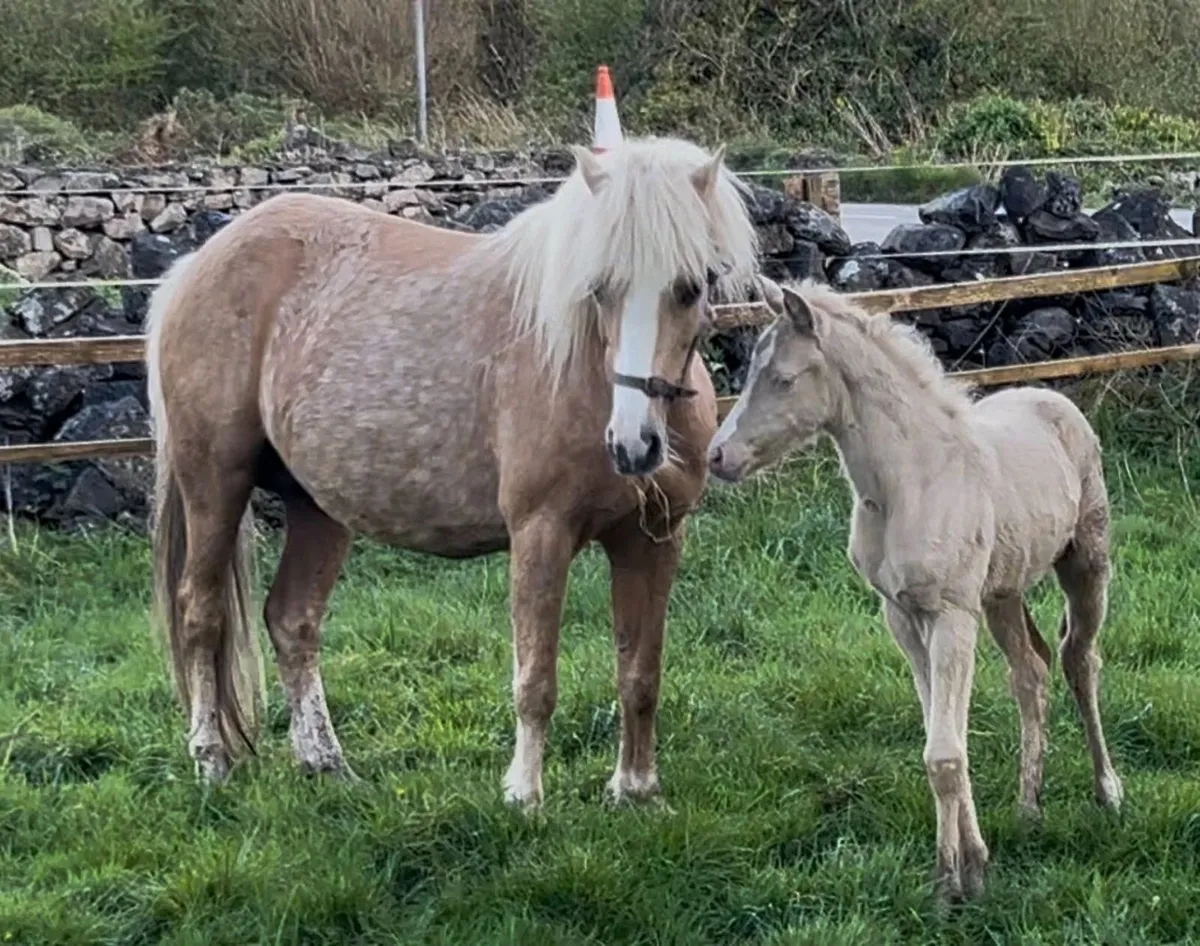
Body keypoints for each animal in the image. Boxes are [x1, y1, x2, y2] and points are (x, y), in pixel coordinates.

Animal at [144, 135, 759, 807]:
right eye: (598, 287)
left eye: (692, 285)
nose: (633, 446)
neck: (581, 370)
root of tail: (195, 265)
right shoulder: (541, 534)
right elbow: (536, 680)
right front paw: (523, 795)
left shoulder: (653, 541)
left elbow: (640, 674)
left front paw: (636, 789)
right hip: (214, 483)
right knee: (200, 613)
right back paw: (212, 759)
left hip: (317, 506)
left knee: (291, 620)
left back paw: (325, 763)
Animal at [706, 280, 1123, 901]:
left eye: (784, 377)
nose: (717, 456)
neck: (910, 483)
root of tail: (1054, 399)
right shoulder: (902, 616)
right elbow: (942, 738)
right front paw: (973, 863)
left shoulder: (950, 614)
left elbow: (945, 751)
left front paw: (951, 882)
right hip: (1000, 594)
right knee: (1031, 672)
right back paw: (1029, 808)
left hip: (1086, 561)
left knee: (1081, 659)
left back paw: (1108, 791)